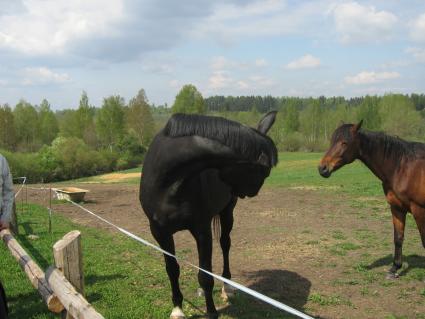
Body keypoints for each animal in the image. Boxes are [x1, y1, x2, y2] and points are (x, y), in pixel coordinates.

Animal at [141, 111, 276, 318]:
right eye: (264, 170)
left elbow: (205, 275)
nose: (253, 191)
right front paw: (177, 309)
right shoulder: (160, 232)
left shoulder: (202, 232)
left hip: (227, 212)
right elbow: (172, 270)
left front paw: (211, 312)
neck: (168, 181)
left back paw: (227, 287)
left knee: (225, 244)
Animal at [318, 121, 424, 278]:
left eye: (345, 142)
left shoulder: (419, 210)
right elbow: (398, 238)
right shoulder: (397, 208)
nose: (323, 168)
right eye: (332, 141)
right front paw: (395, 268)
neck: (403, 168)